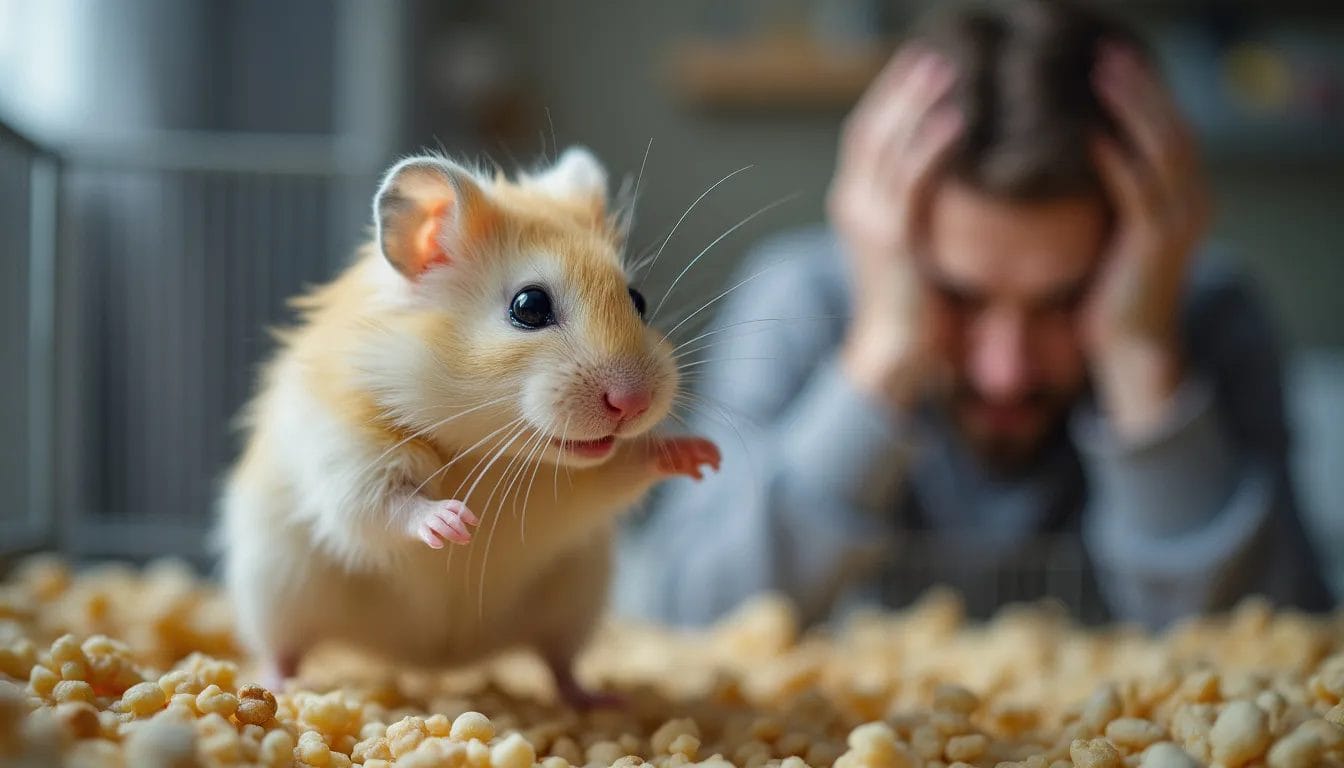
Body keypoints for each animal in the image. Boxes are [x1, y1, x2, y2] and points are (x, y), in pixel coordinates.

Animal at [219, 145, 720, 710]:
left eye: (638, 300)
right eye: (529, 306)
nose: (634, 403)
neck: (492, 450)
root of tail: (438, 663)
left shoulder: (578, 486)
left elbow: (622, 468)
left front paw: (703, 455)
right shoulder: (348, 451)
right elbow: (378, 506)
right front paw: (454, 523)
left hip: (574, 604)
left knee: (560, 662)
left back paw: (598, 700)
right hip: (274, 594)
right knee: (283, 649)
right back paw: (272, 688)